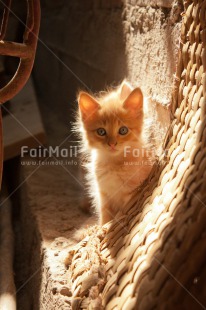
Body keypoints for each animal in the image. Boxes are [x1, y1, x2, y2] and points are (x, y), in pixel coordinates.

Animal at [75, 81, 164, 224]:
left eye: (123, 130)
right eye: (101, 132)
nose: (112, 144)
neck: (115, 163)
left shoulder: (132, 193)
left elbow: (123, 214)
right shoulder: (103, 194)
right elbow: (105, 216)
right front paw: (103, 227)